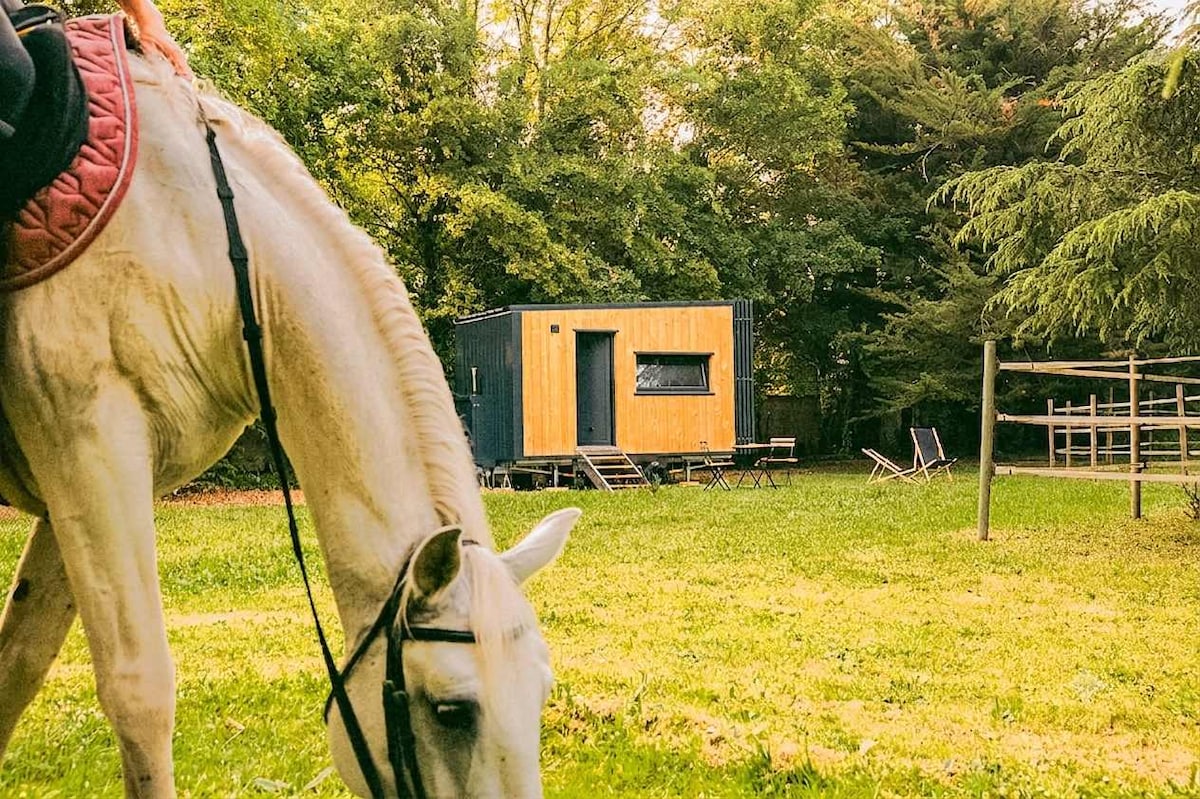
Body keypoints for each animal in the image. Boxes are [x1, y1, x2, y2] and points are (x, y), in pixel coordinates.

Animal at [0, 39, 580, 798]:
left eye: (540, 695)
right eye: (452, 711)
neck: (207, 249)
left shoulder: (89, 480)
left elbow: (18, 663)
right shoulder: (86, 445)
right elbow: (139, 689)